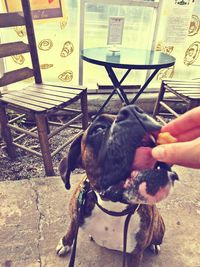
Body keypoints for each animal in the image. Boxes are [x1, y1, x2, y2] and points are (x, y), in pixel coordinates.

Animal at [56, 105, 178, 267]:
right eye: (98, 128)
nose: (133, 110)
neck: (113, 208)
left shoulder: (135, 255)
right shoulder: (76, 213)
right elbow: (72, 227)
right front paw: (65, 242)